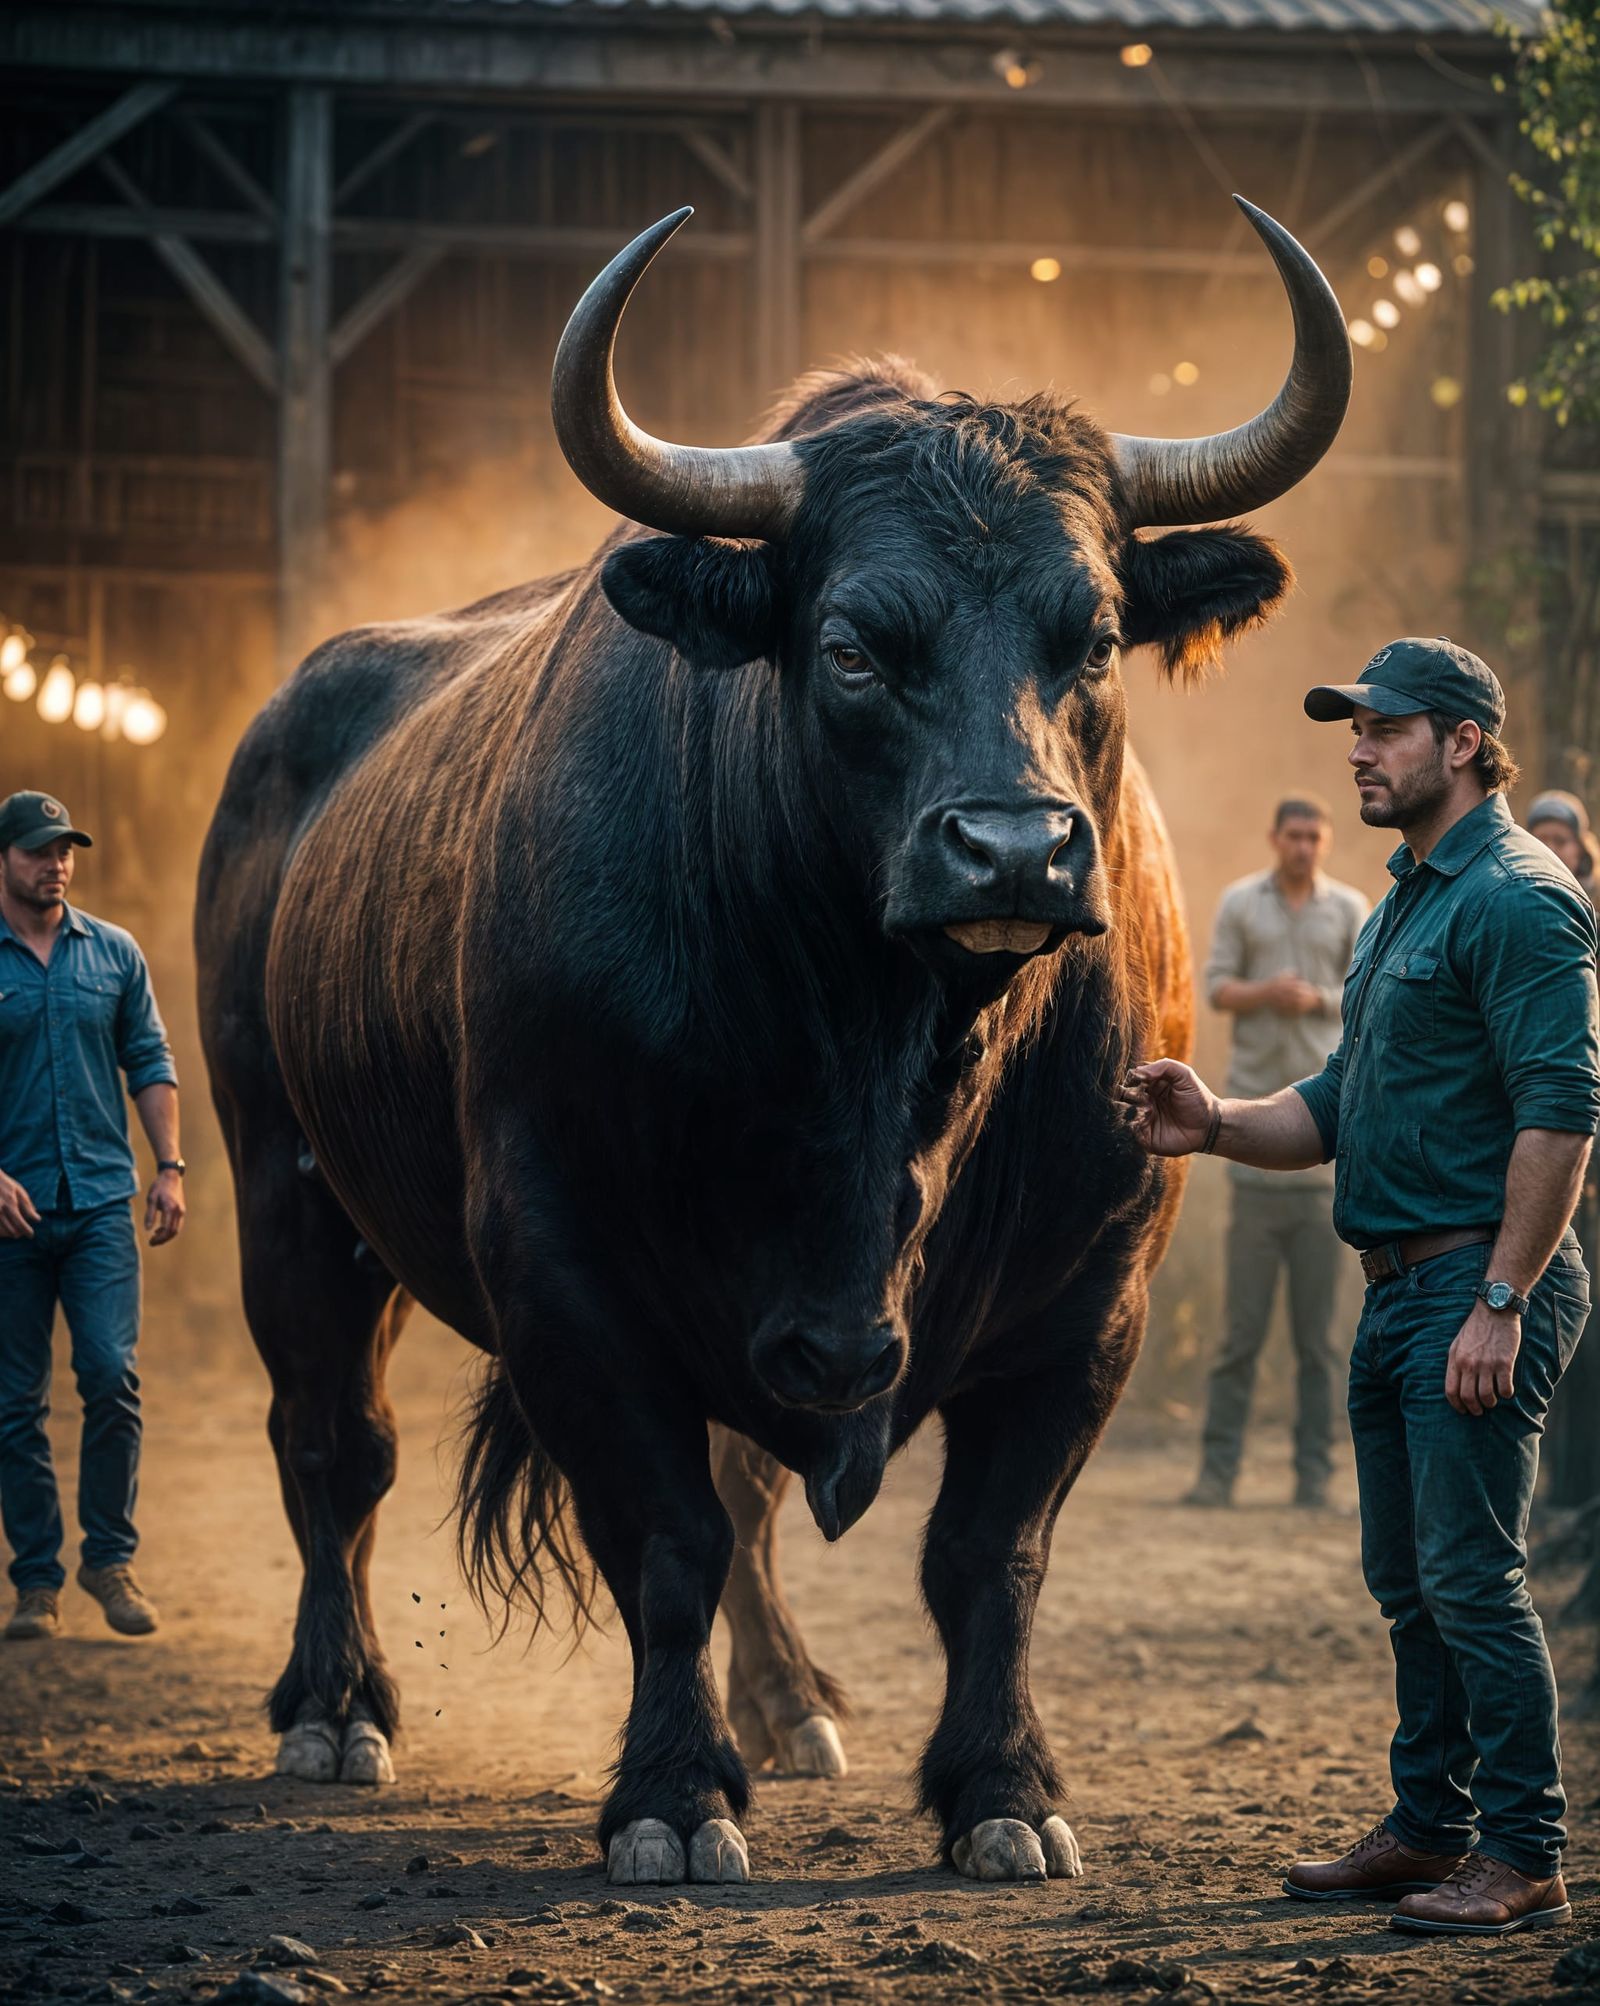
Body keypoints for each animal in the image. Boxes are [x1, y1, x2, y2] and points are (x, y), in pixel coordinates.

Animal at [195, 196, 1350, 1885]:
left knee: (740, 1489)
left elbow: (985, 1551)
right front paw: (674, 1796)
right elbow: (662, 1537)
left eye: (1094, 638)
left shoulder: (1094, 1289)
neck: (880, 1057)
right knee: (334, 1445)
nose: (1013, 852)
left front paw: (1005, 1789)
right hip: (285, 1184)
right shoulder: (565, 1267)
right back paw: (338, 1707)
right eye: (857, 645)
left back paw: (790, 1703)